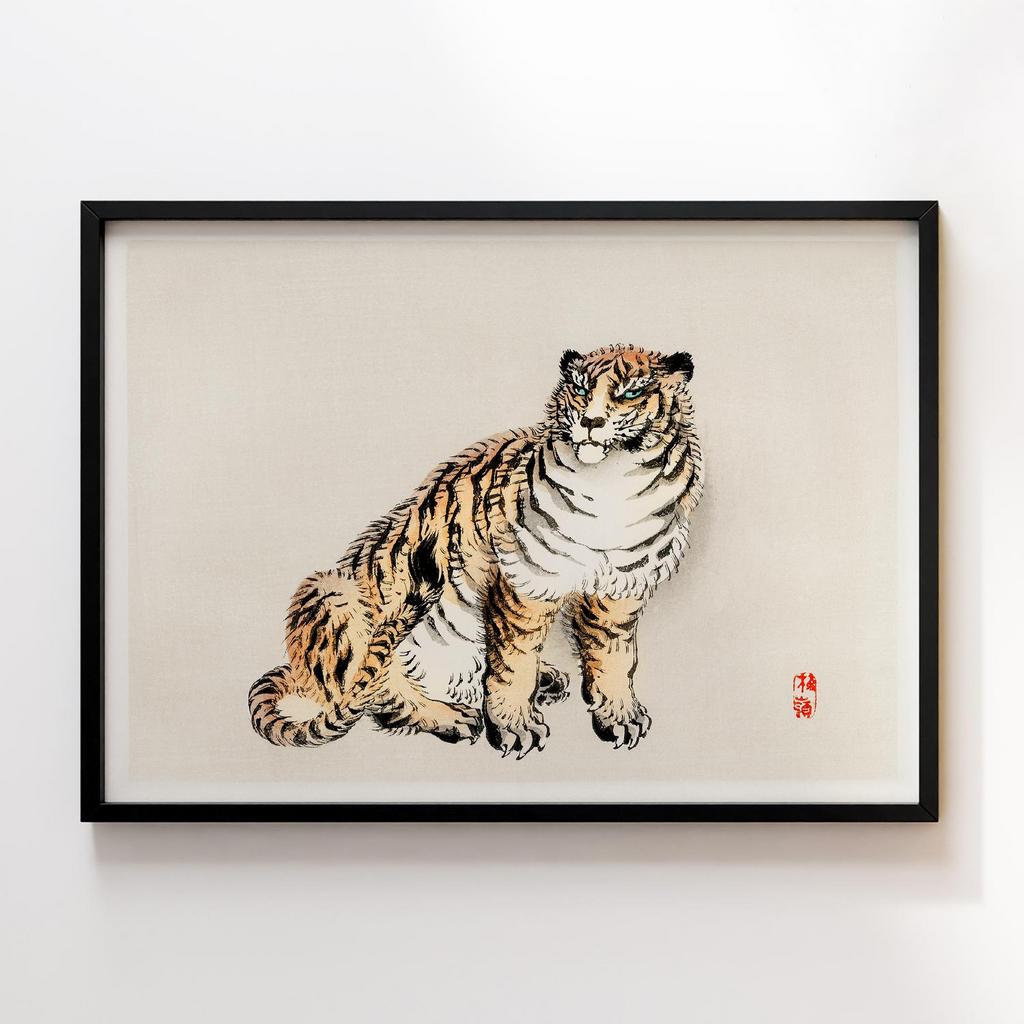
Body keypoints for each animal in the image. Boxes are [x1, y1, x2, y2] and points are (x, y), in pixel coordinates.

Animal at [248, 344, 703, 758]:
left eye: (631, 392)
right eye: (579, 388)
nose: (591, 422)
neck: (614, 485)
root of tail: (298, 673)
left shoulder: (621, 589)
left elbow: (614, 657)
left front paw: (620, 717)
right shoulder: (524, 583)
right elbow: (514, 663)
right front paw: (516, 728)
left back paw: (547, 678)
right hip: (330, 591)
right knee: (377, 693)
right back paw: (452, 716)